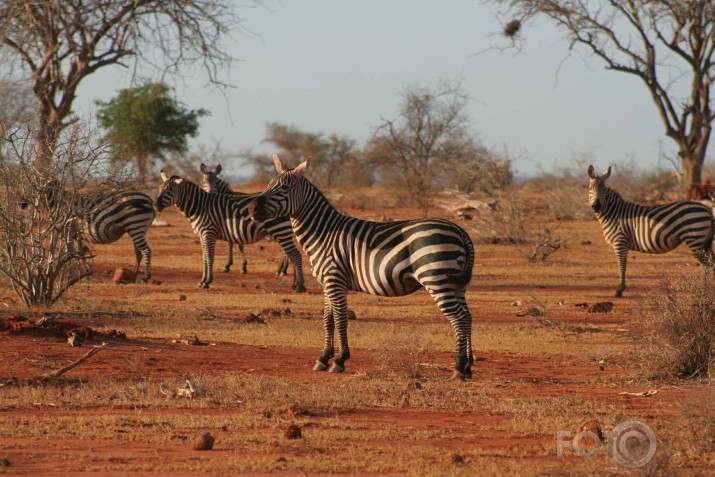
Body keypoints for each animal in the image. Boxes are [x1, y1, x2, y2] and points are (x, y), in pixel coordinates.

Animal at [155, 171, 304, 290]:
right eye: (159, 189)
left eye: (170, 190)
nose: (155, 205)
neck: (199, 207)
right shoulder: (202, 235)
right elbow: (204, 258)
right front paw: (202, 281)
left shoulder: (208, 233)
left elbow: (209, 257)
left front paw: (207, 282)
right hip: (282, 232)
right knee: (291, 255)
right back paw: (292, 282)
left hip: (280, 230)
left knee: (295, 255)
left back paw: (299, 285)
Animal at [249, 156, 478, 380]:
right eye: (269, 185)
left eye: (285, 187)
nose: (252, 209)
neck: (323, 234)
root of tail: (461, 232)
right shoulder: (327, 283)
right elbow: (328, 319)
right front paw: (323, 358)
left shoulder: (335, 280)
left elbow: (340, 319)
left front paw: (340, 360)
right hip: (456, 284)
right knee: (467, 316)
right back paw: (468, 366)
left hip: (436, 278)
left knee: (458, 318)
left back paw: (458, 368)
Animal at [592, 165, 712, 296]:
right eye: (590, 189)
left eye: (603, 190)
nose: (596, 206)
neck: (615, 213)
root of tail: (707, 209)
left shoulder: (620, 241)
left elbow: (622, 264)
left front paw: (620, 290)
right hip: (705, 241)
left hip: (695, 238)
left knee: (706, 264)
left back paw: (704, 291)